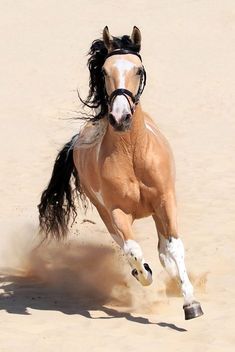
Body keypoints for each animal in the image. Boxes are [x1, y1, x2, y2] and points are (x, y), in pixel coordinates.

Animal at [37, 26, 203, 320]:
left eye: (139, 69)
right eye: (104, 71)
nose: (120, 117)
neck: (132, 153)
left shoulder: (165, 200)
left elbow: (173, 247)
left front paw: (191, 304)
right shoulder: (117, 212)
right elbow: (133, 251)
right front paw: (143, 272)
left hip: (156, 211)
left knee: (164, 250)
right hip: (105, 214)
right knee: (131, 248)